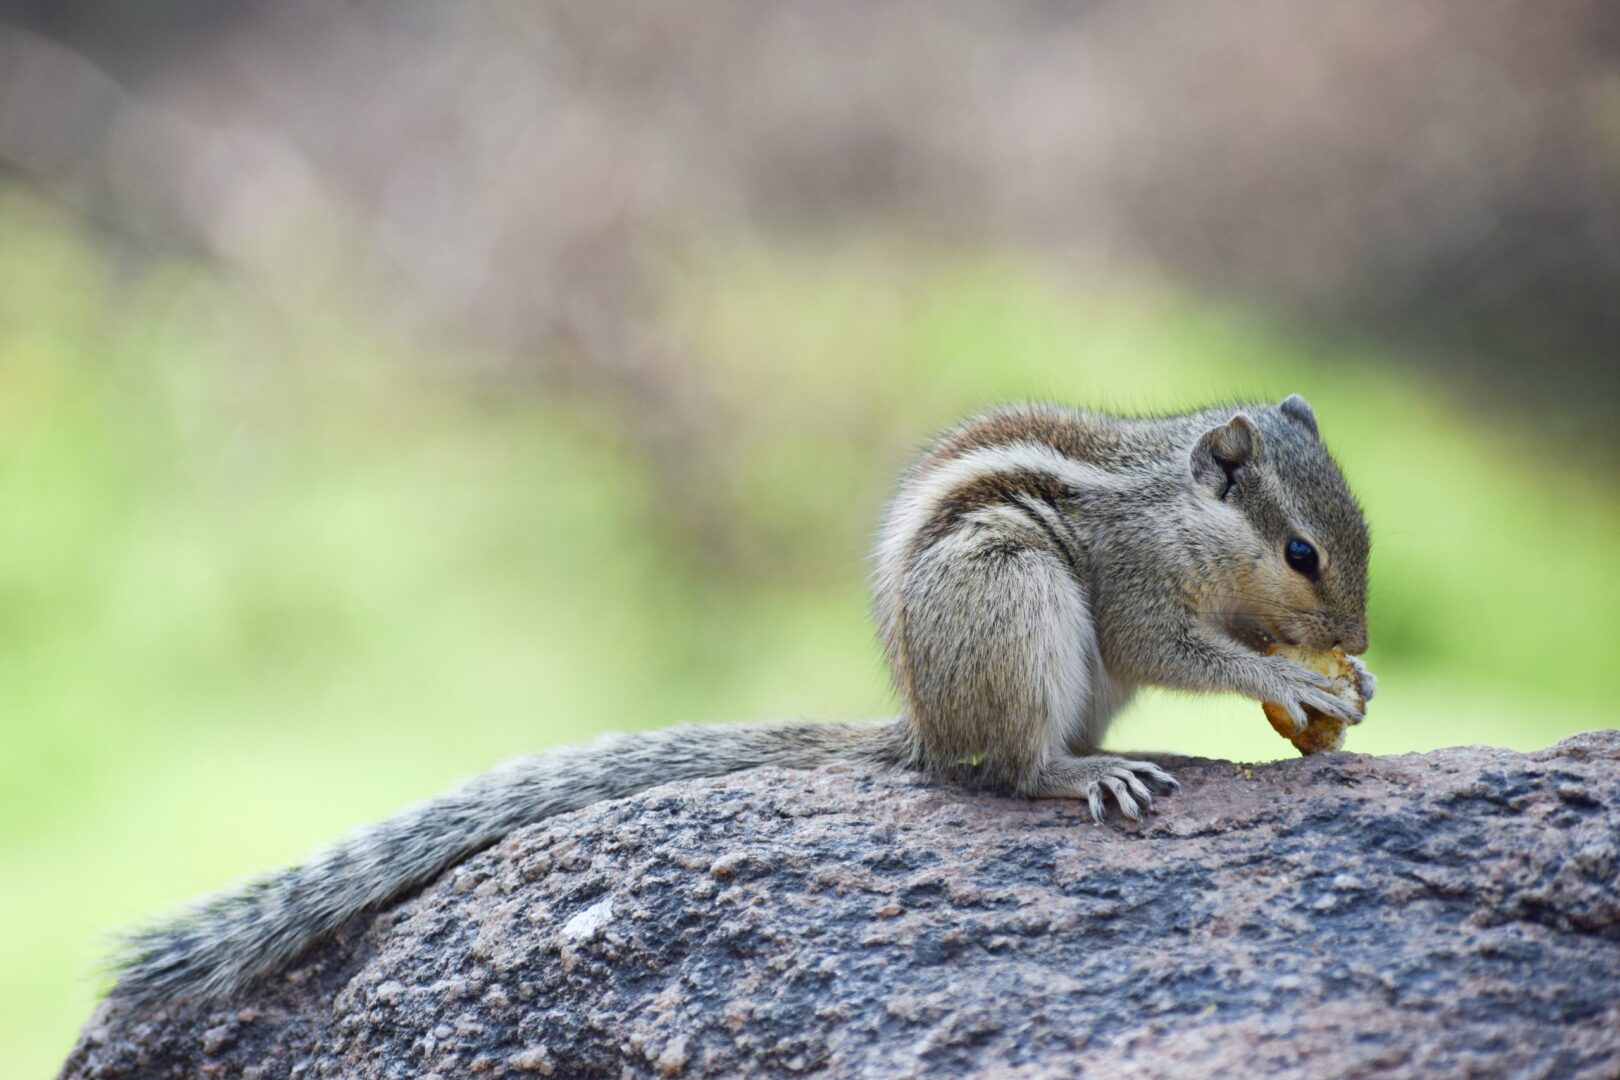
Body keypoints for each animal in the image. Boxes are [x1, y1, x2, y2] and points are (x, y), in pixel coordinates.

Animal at [110, 395, 1380, 1003]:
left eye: (1360, 533)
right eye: (1304, 552)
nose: (1360, 640)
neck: (1181, 511)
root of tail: (923, 727)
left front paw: (1344, 683)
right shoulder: (1128, 591)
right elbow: (1185, 650)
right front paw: (1283, 673)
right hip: (1013, 601)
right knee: (1010, 772)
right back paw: (1080, 772)